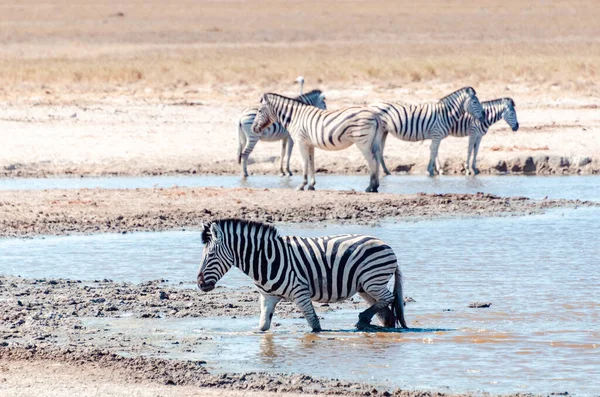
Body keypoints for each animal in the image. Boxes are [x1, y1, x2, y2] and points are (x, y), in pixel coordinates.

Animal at [197, 220, 408, 332]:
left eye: (211, 255)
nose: (200, 284)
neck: (265, 259)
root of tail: (386, 245)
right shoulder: (267, 297)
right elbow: (263, 326)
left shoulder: (300, 292)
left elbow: (314, 324)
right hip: (365, 286)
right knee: (385, 308)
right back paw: (373, 323)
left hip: (372, 281)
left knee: (389, 298)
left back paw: (363, 319)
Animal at [252, 93, 384, 192]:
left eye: (259, 111)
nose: (253, 129)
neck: (295, 117)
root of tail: (374, 114)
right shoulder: (310, 144)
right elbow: (312, 163)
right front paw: (311, 185)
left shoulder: (301, 142)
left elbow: (304, 163)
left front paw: (302, 185)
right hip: (375, 142)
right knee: (377, 159)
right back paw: (375, 186)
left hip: (363, 142)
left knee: (372, 161)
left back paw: (370, 187)